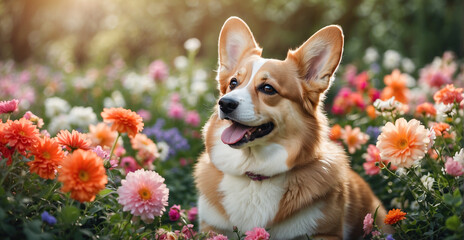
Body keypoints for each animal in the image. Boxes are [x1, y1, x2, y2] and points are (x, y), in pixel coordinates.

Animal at [193, 15, 392, 239]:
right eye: (233, 83)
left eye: (268, 88)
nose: (225, 103)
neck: (255, 175)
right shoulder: (212, 228)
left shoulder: (324, 233)